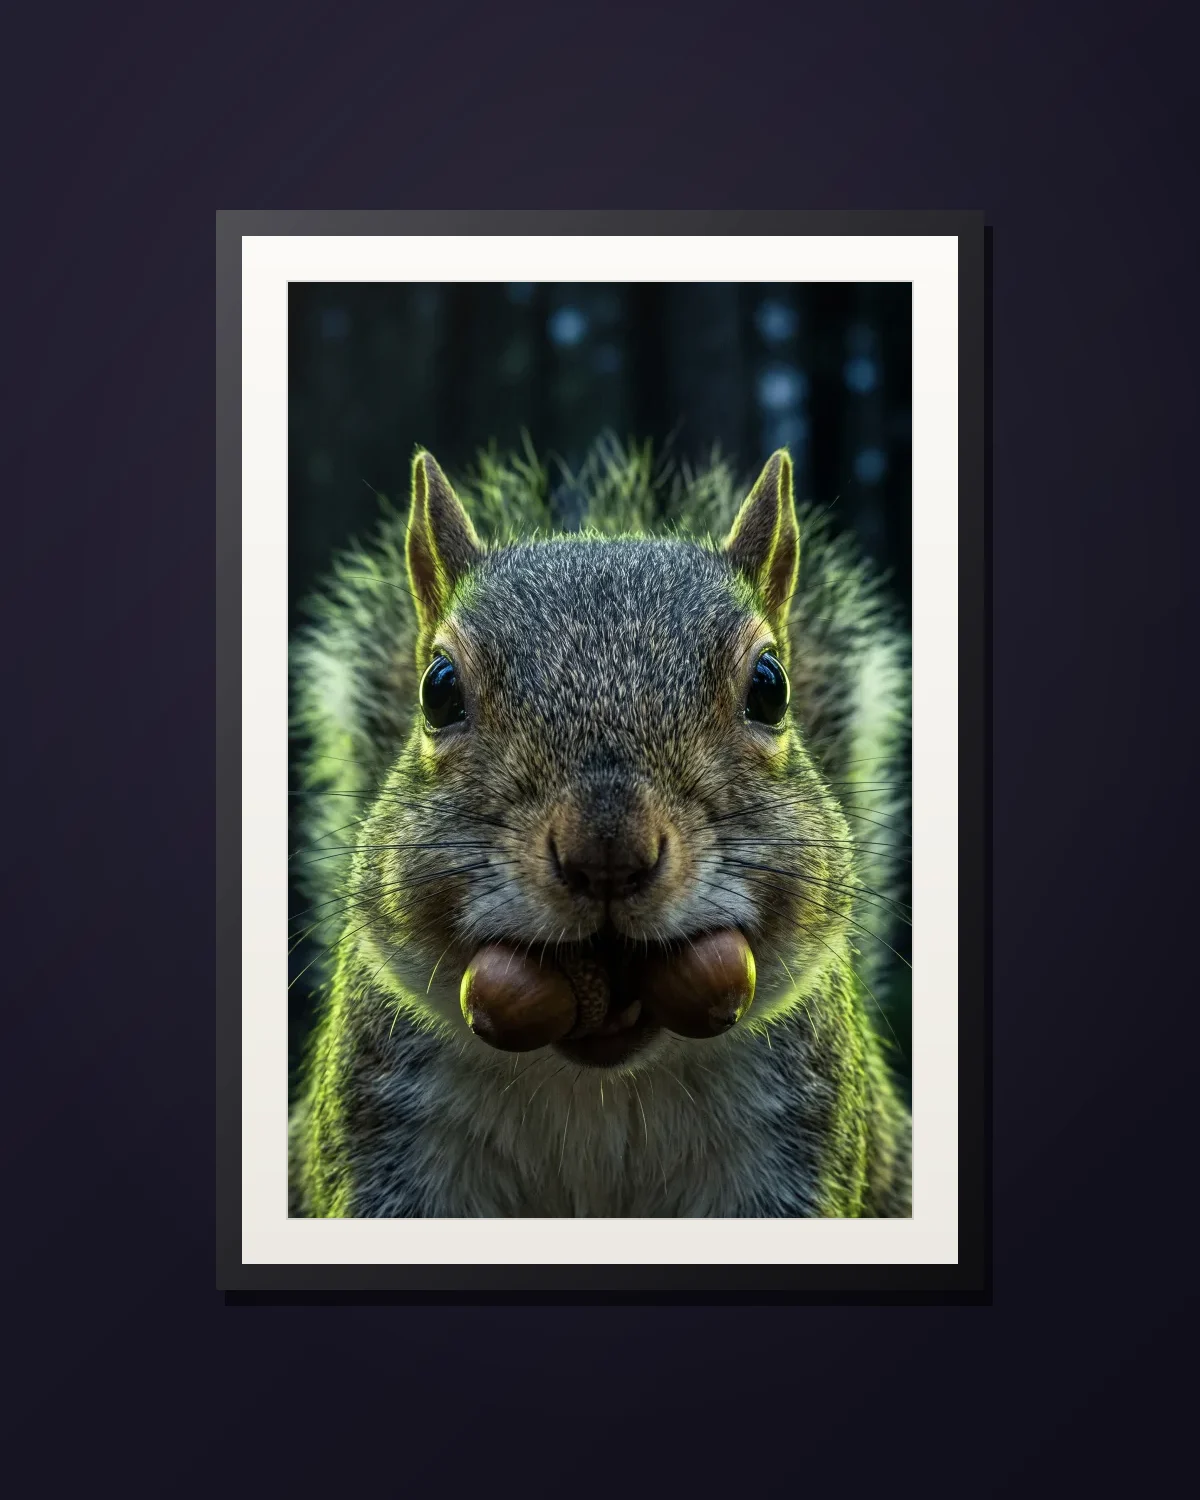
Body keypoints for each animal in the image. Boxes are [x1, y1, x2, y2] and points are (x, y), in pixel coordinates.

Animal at [288, 437, 911, 1217]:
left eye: (770, 687)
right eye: (439, 690)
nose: (607, 854)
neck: (598, 1086)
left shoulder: (789, 1138)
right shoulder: (390, 1133)